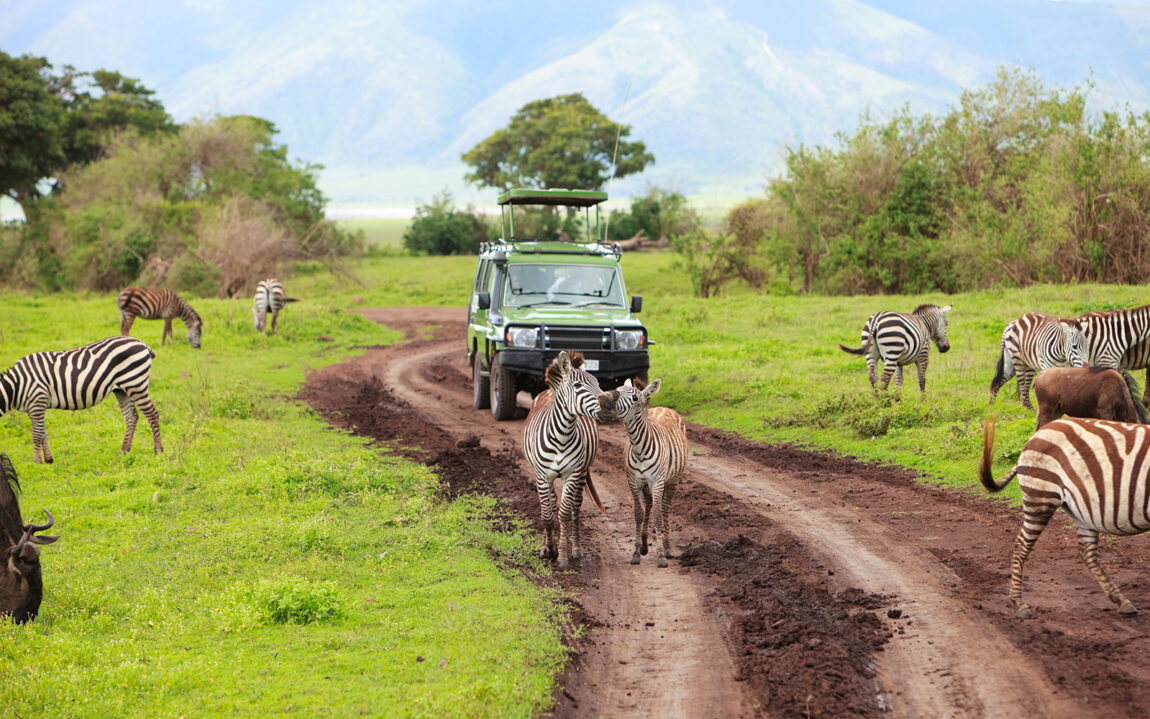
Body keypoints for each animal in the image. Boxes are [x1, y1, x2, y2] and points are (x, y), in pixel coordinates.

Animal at [0, 333, 163, 462]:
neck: (16, 384)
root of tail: (142, 343)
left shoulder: (37, 401)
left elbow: (36, 434)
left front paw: (37, 462)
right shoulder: (33, 407)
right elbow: (43, 432)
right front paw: (48, 460)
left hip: (135, 383)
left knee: (152, 413)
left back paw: (158, 451)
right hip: (122, 389)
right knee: (131, 416)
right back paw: (123, 451)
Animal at [524, 349, 611, 568]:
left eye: (598, 382)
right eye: (578, 386)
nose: (608, 405)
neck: (561, 436)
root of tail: (548, 391)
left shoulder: (571, 474)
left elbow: (564, 514)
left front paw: (562, 555)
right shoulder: (542, 476)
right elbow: (547, 515)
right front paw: (548, 549)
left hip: (581, 472)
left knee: (575, 507)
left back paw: (576, 548)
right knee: (551, 504)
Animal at [598, 375, 685, 565]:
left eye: (634, 398)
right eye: (618, 389)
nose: (602, 399)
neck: (639, 448)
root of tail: (664, 408)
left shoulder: (657, 482)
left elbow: (658, 517)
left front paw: (661, 556)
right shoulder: (634, 482)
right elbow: (639, 514)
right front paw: (636, 553)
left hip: (672, 481)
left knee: (665, 509)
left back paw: (667, 548)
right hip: (647, 486)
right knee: (650, 505)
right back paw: (645, 544)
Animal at [979, 414, 1150, 616]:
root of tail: (1039, 433)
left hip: (1082, 512)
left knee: (1086, 551)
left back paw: (1121, 600)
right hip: (1040, 496)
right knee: (1021, 545)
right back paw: (1019, 603)